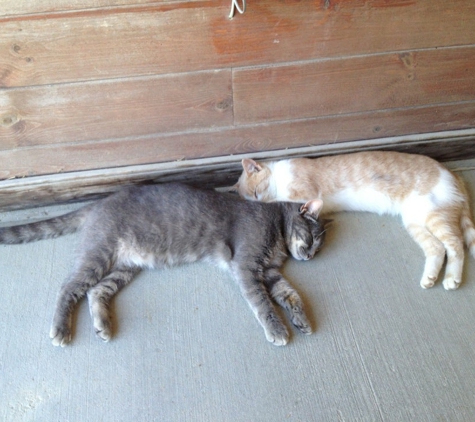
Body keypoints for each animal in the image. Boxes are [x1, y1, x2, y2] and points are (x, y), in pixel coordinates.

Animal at [0, 184, 328, 346]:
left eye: (319, 245)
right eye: (312, 237)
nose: (311, 255)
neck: (278, 238)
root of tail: (99, 203)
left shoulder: (270, 272)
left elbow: (290, 294)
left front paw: (301, 319)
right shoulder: (247, 266)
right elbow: (263, 304)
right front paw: (278, 329)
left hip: (124, 267)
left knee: (96, 291)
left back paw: (103, 324)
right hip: (99, 254)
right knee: (68, 287)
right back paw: (60, 328)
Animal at [234, 151, 475, 290]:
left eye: (256, 192)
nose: (260, 205)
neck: (279, 176)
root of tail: (452, 173)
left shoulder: (304, 190)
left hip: (434, 215)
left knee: (455, 245)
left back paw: (452, 278)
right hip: (415, 221)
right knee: (437, 248)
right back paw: (429, 278)